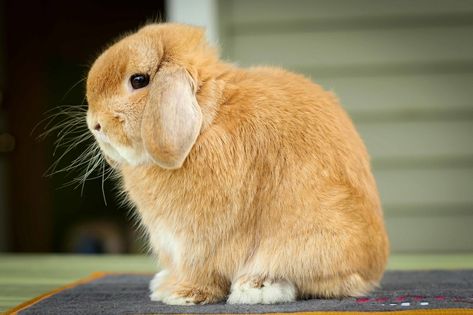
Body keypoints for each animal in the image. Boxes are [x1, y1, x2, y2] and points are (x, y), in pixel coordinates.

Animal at [86, 23, 390, 308]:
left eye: (139, 80)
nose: (95, 124)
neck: (206, 120)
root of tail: (373, 269)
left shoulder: (197, 242)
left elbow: (202, 271)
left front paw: (184, 295)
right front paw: (166, 287)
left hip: (309, 236)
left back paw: (257, 287)